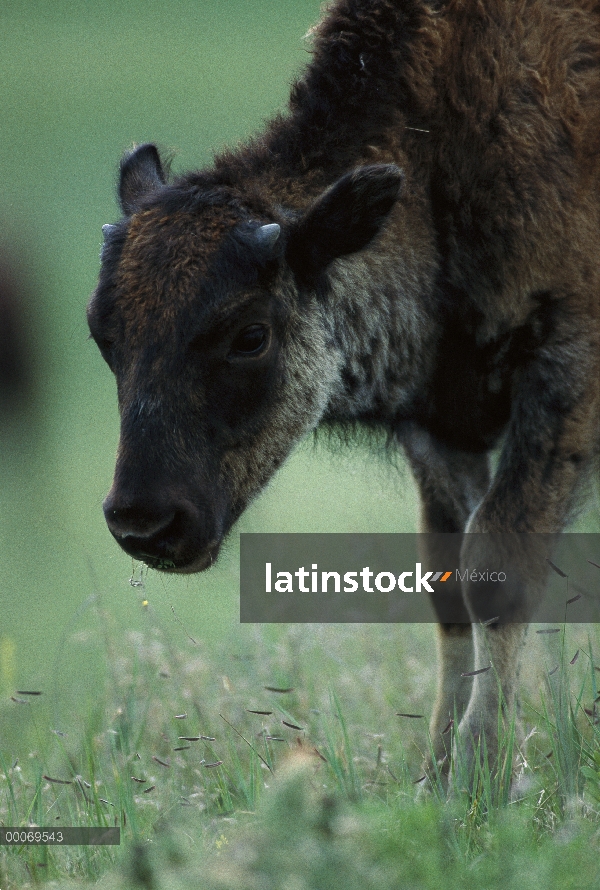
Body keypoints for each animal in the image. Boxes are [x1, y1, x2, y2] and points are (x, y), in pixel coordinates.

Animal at [89, 0, 600, 776]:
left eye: (250, 335)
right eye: (101, 331)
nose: (145, 524)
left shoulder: (563, 374)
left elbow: (498, 567)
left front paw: (478, 772)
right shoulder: (440, 428)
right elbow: (453, 584)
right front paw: (442, 771)